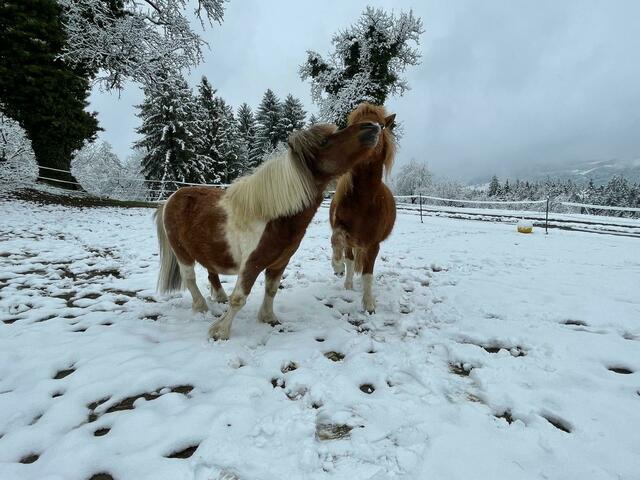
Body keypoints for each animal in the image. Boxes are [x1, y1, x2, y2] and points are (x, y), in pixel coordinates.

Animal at [154, 121, 382, 340]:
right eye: (324, 141)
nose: (372, 126)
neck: (272, 216)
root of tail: (172, 198)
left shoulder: (280, 262)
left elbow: (271, 290)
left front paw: (268, 318)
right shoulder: (251, 265)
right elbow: (239, 299)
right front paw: (220, 332)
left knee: (212, 272)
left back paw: (219, 297)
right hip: (182, 253)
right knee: (190, 279)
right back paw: (201, 306)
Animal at [329, 103, 397, 313]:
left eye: (381, 125)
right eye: (352, 125)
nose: (366, 135)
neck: (364, 202)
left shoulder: (373, 244)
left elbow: (368, 273)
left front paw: (369, 305)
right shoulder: (342, 228)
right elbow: (336, 239)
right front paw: (337, 265)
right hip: (352, 243)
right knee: (350, 260)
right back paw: (347, 282)